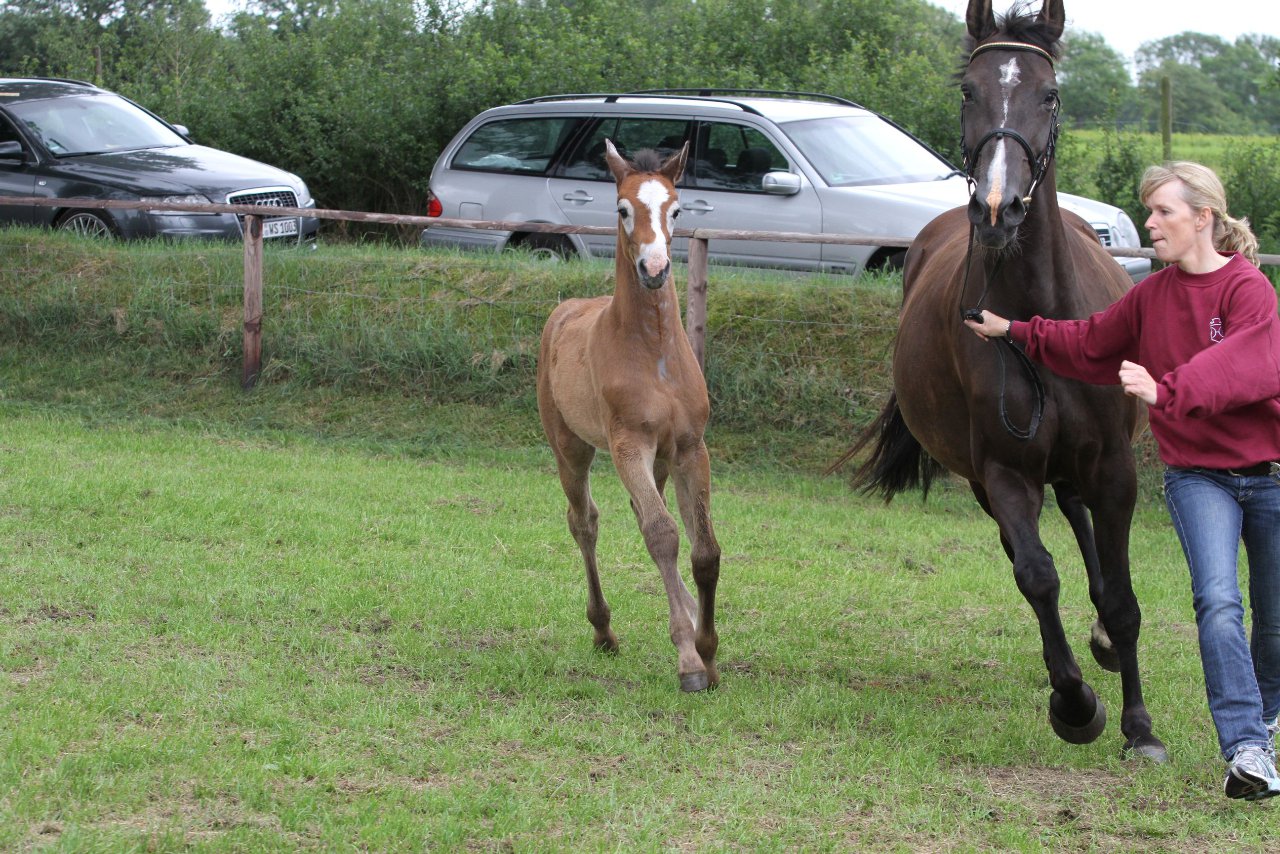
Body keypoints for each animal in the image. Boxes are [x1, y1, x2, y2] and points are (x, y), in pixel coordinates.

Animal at [537, 140, 721, 696]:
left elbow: (703, 549)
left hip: (659, 463)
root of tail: (565, 310)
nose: (655, 268)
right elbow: (663, 536)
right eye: (622, 209)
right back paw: (603, 631)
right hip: (570, 449)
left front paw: (709, 651)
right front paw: (689, 661)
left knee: (645, 515)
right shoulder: (627, 446)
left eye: (676, 210)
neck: (654, 354)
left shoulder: (690, 448)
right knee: (584, 522)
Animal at [839, 0, 1172, 763]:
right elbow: (1037, 574)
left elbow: (1122, 600)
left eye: (1048, 94)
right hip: (989, 480)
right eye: (969, 90)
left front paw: (1140, 726)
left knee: (1081, 520)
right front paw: (1076, 704)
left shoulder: (1115, 468)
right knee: (1034, 545)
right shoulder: (1004, 471)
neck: (1038, 315)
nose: (998, 209)